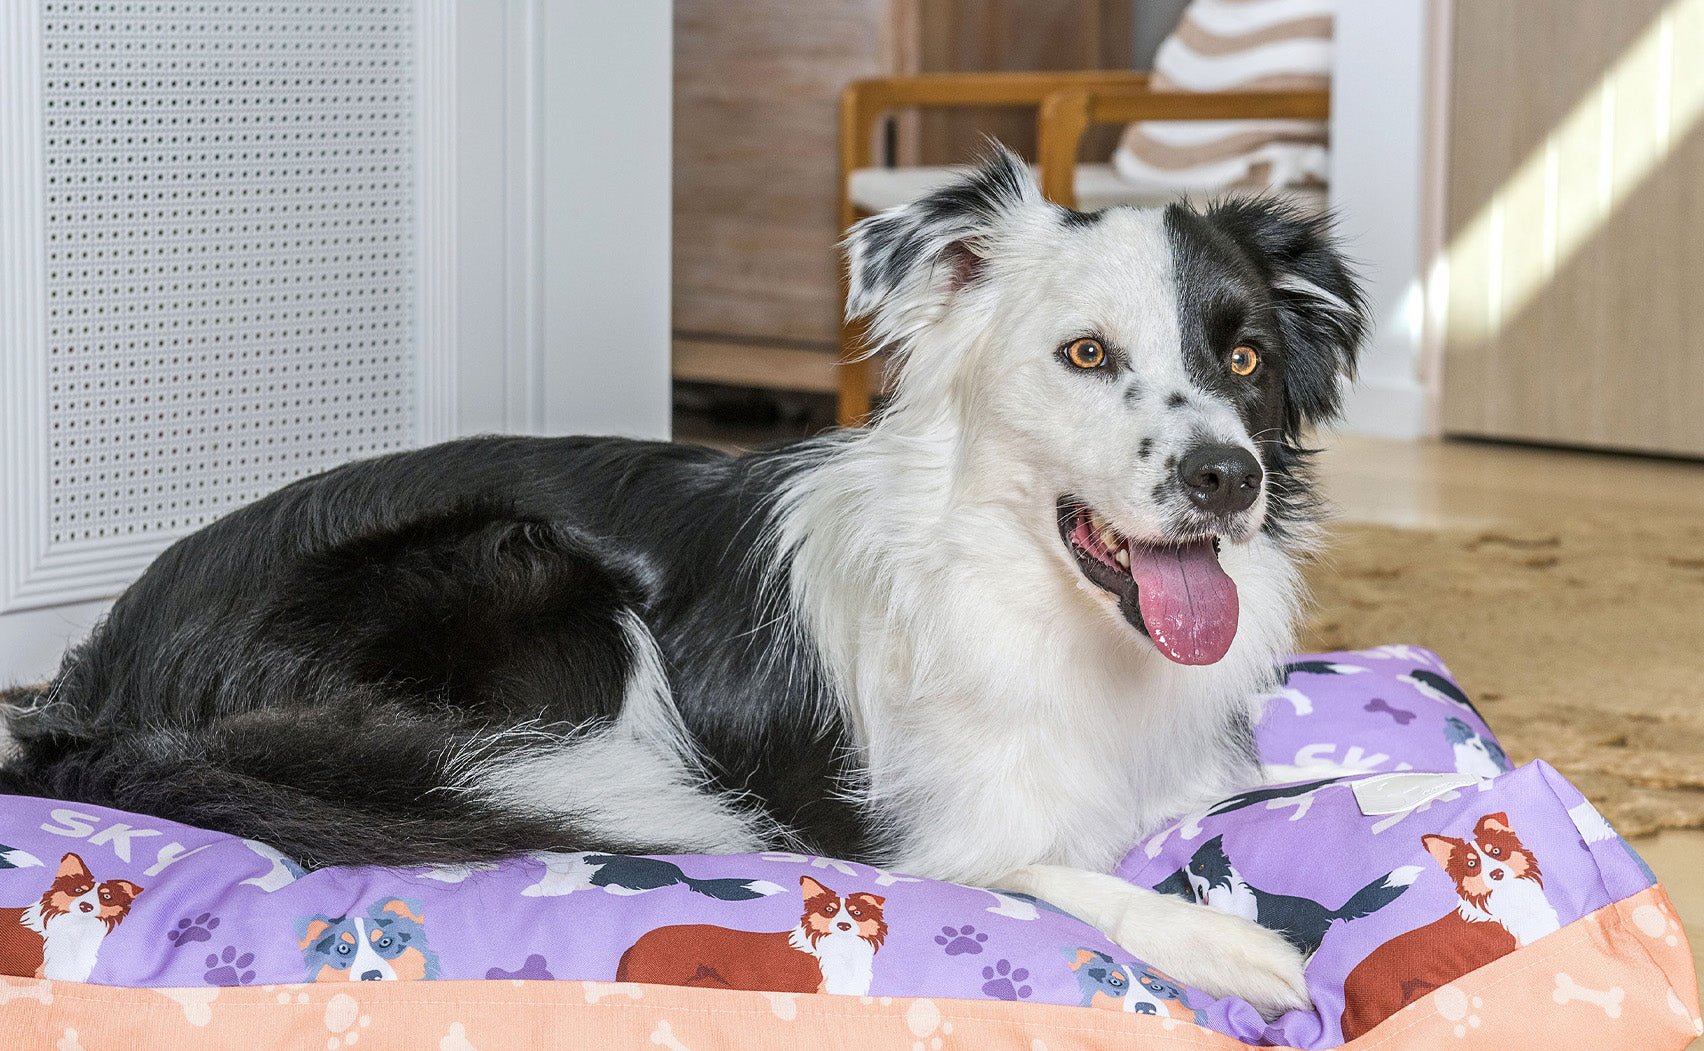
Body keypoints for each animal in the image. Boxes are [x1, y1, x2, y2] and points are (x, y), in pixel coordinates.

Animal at [0, 151, 1356, 1015]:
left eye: (1243, 357)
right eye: (1085, 354)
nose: (1226, 477)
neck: (1048, 609)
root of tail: (95, 687)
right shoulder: (906, 836)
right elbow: (1053, 871)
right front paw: (1223, 943)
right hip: (531, 572)